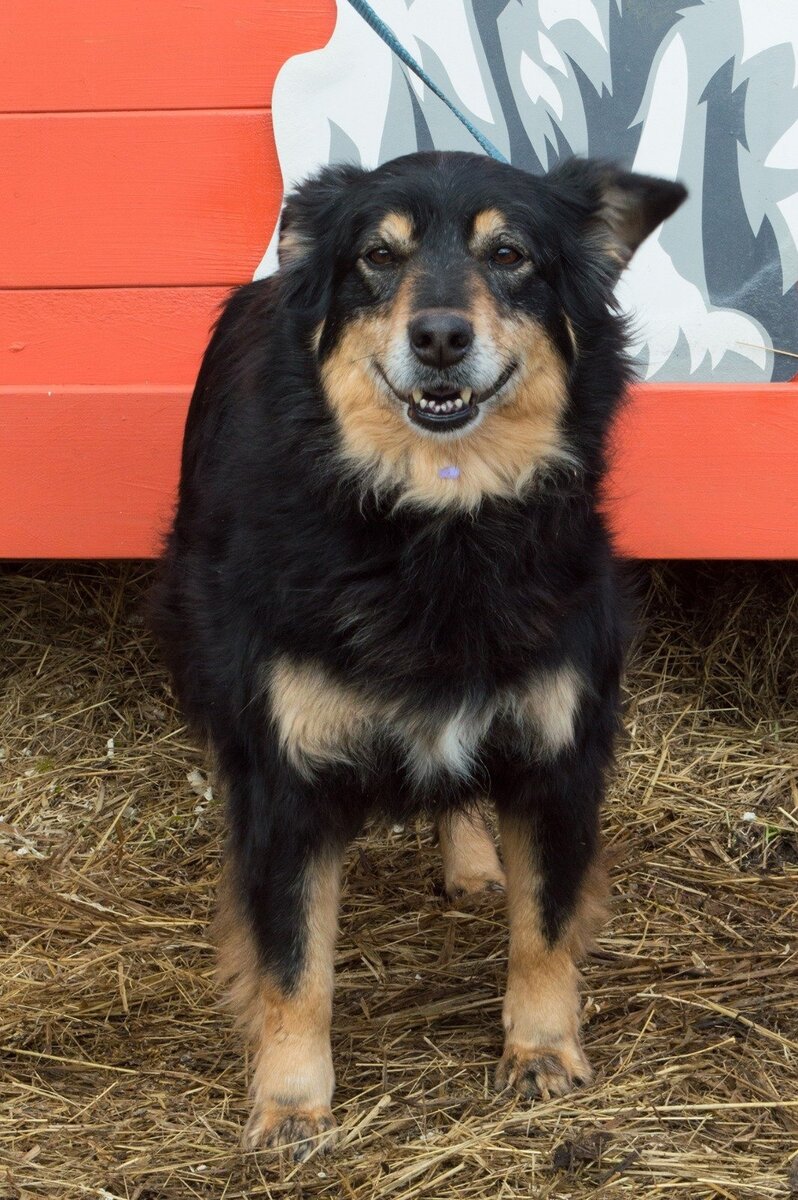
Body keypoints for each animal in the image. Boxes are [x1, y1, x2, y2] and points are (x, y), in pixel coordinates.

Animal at [151, 147, 686, 1152]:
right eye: (377, 256)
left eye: (510, 254)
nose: (439, 336)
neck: (440, 524)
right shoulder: (286, 775)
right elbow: (293, 960)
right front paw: (291, 1102)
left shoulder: (561, 754)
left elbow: (544, 925)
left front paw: (541, 1050)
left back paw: (472, 860)